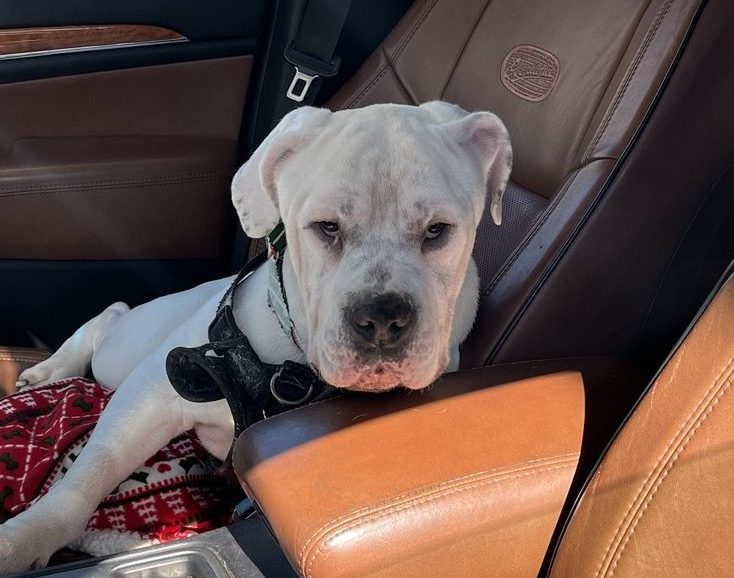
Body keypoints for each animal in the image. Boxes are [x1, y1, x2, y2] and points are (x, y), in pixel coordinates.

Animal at [0, 100, 512, 568]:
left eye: (437, 231)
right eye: (326, 228)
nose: (382, 318)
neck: (289, 368)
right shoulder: (151, 391)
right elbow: (87, 477)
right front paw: (21, 541)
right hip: (127, 354)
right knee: (110, 317)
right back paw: (49, 368)